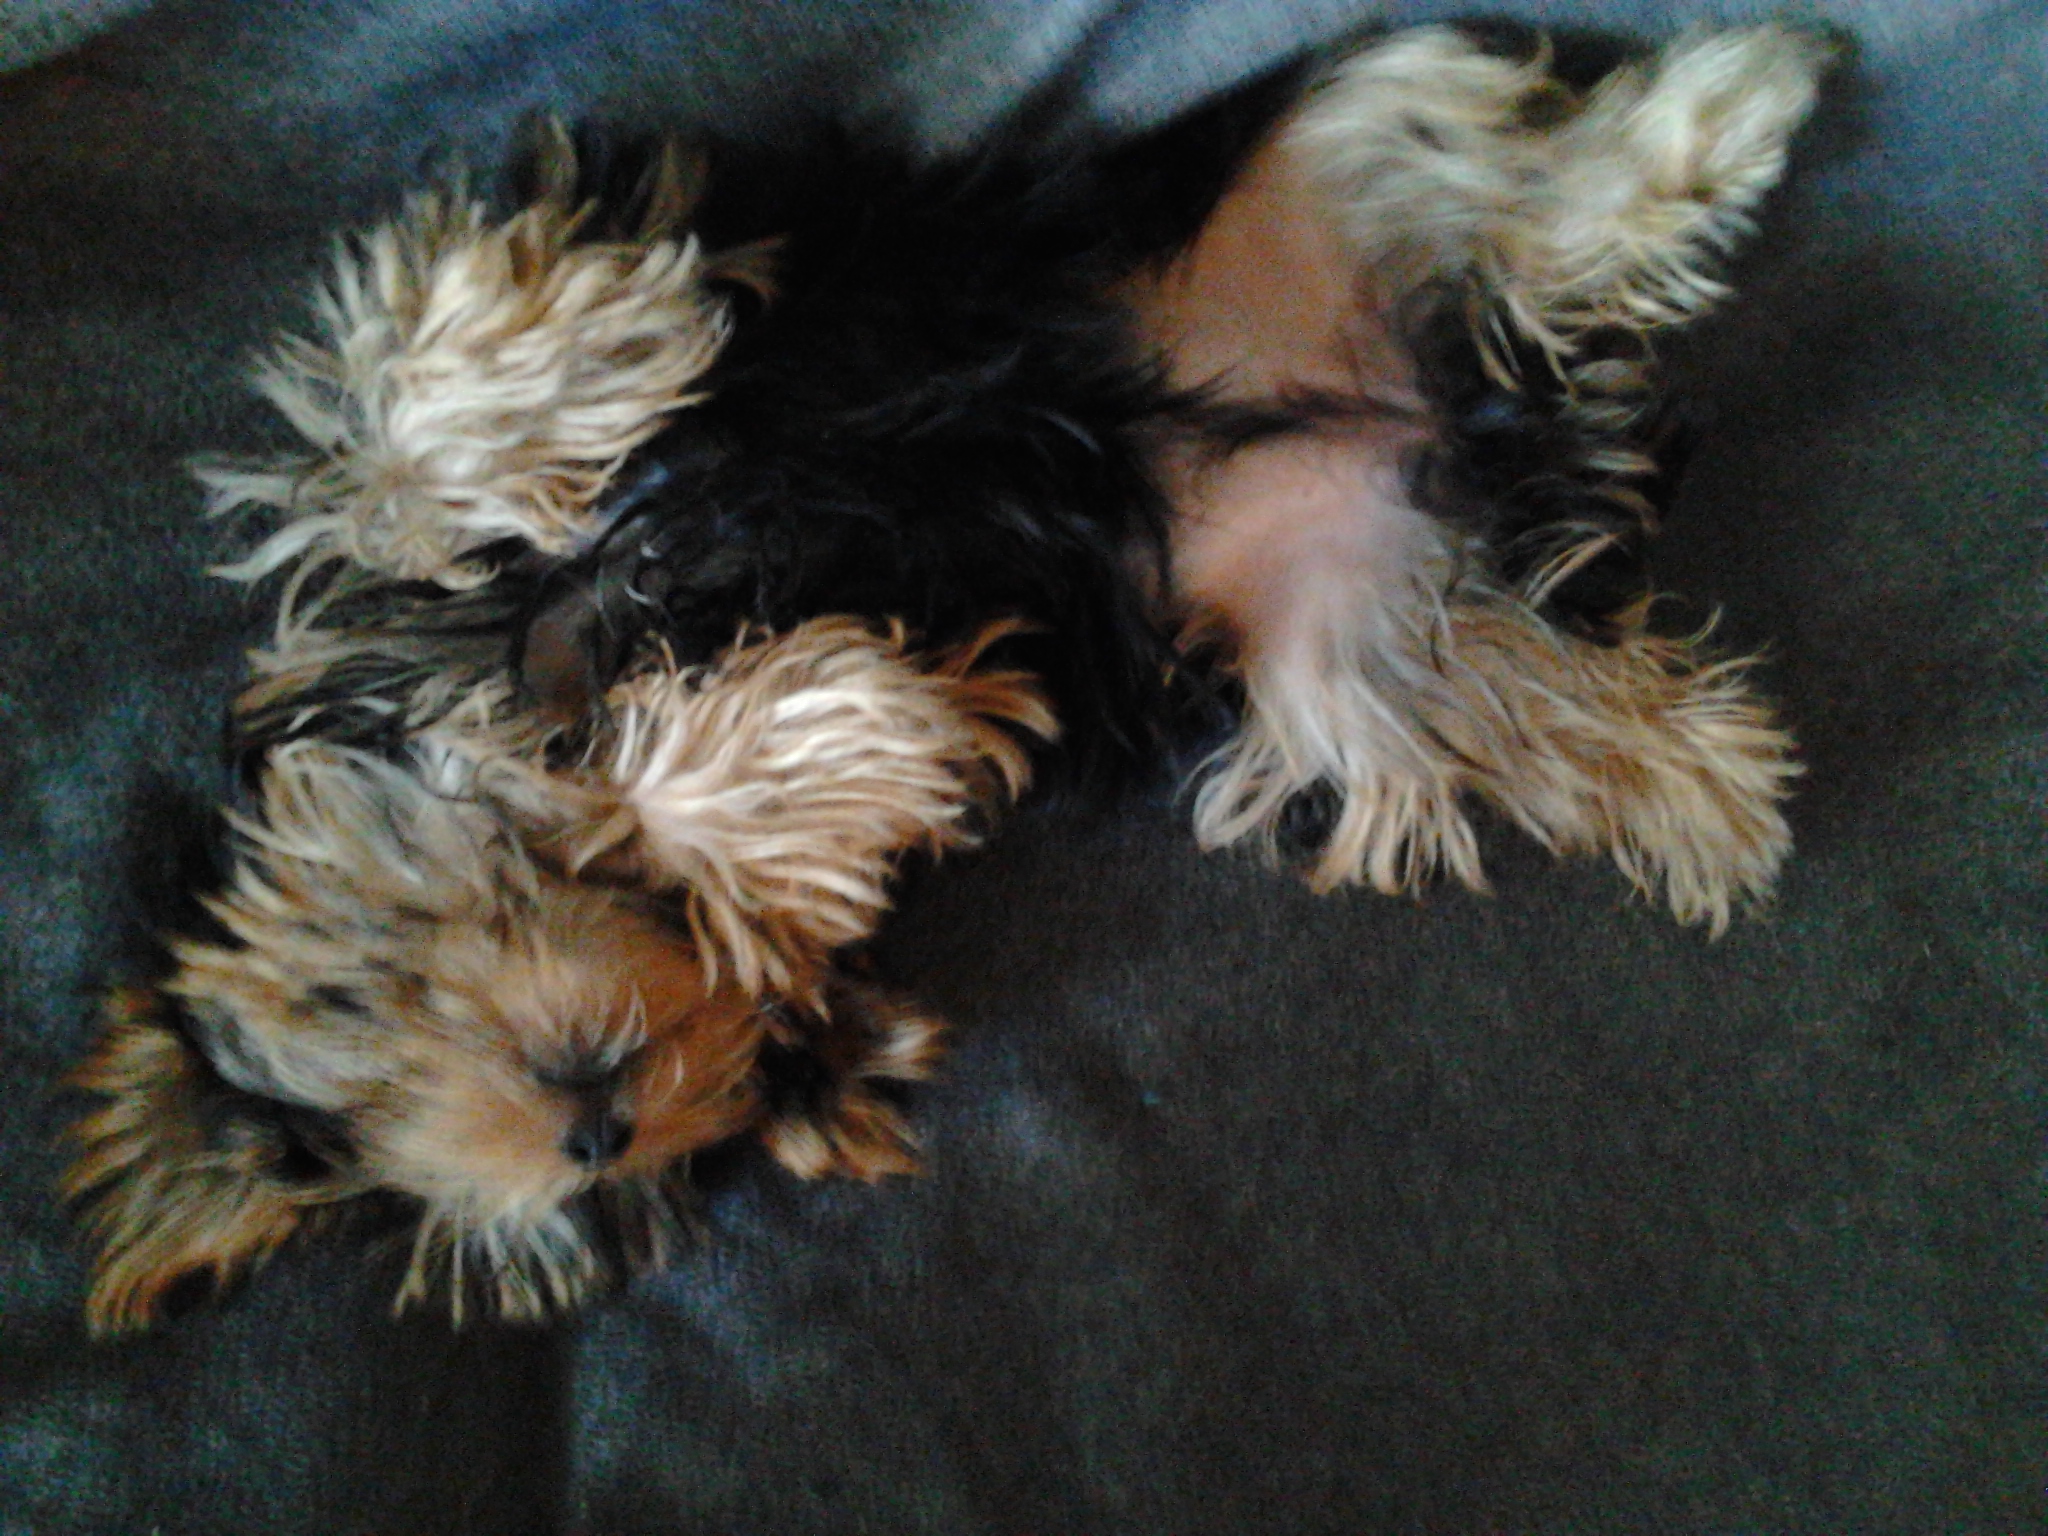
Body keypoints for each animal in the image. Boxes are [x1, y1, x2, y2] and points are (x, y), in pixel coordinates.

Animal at [65, 21, 1829, 1329]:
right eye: (607, 1192)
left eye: (352, 995)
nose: (589, 1133)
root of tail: (1403, 405)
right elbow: (789, 821)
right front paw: (790, 772)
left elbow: (410, 444)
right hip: (1343, 637)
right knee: (1503, 681)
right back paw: (1703, 789)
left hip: (1304, 156)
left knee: (1516, 178)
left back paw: (1731, 100)